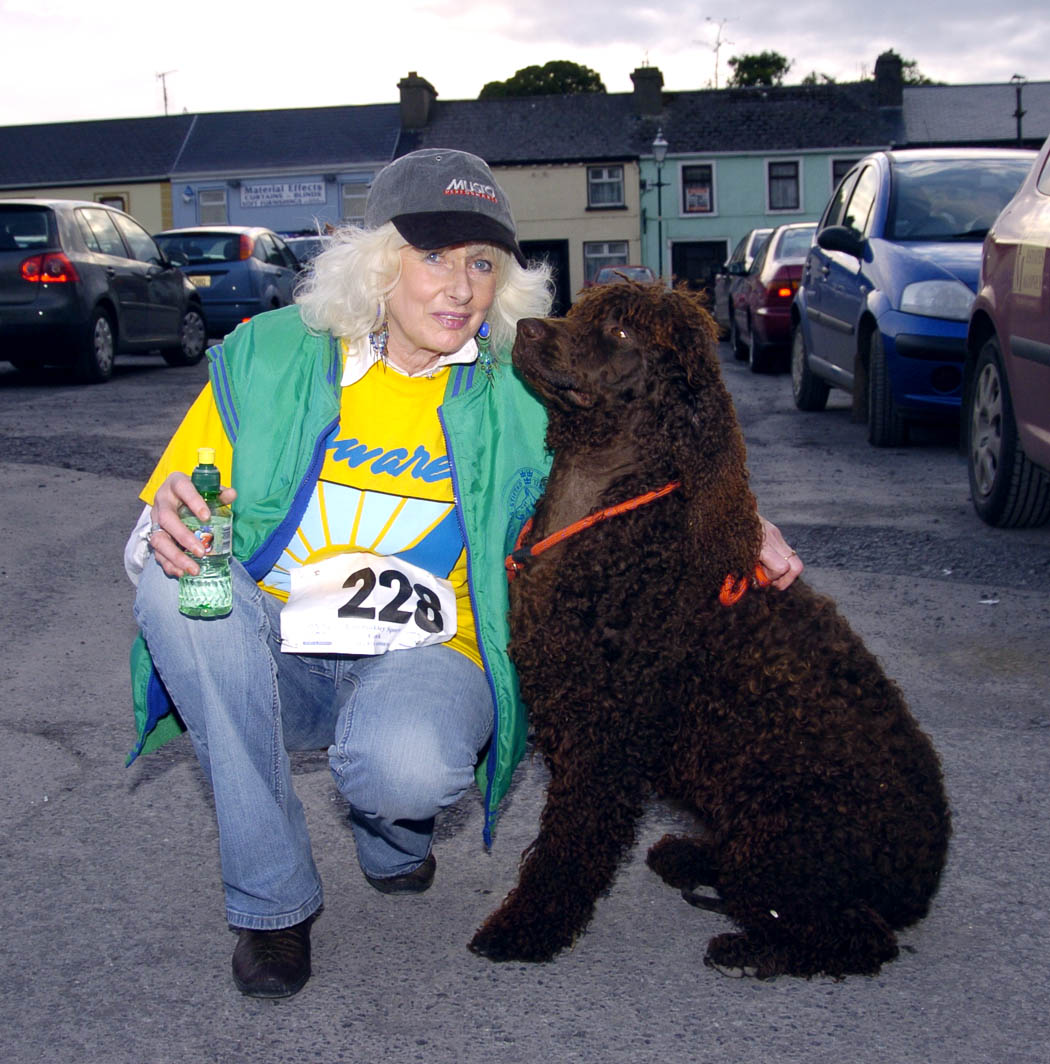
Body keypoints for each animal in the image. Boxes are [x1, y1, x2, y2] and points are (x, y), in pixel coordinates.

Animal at [470, 278, 953, 974]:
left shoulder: (605, 740)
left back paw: (750, 946)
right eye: (585, 312)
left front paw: (526, 927)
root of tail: (921, 877)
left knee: (859, 937)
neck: (610, 514)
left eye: (621, 333)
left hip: (784, 840)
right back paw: (694, 858)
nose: (530, 329)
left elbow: (568, 847)